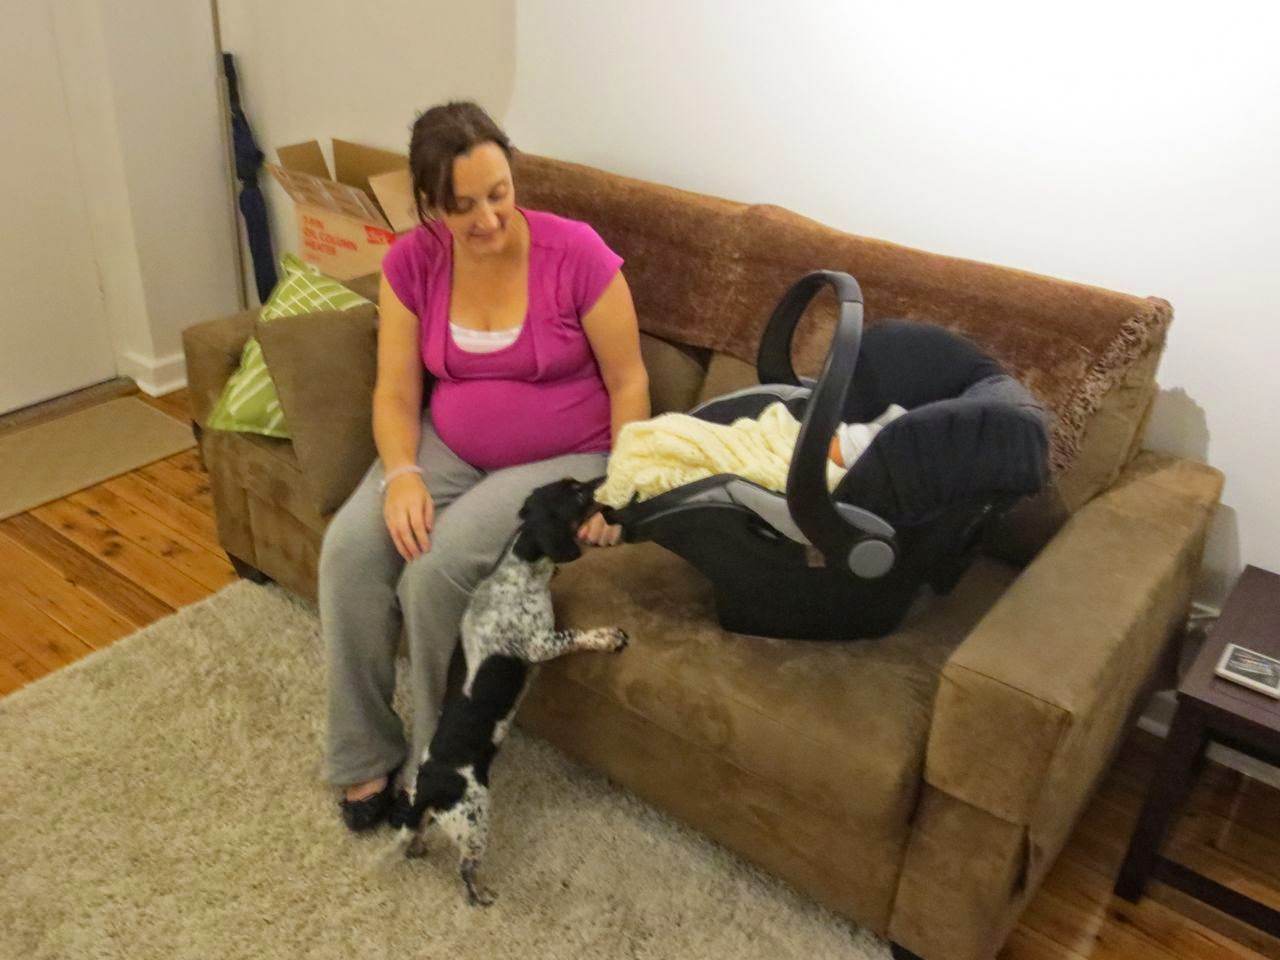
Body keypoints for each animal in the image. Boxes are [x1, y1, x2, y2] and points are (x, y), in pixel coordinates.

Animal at [387, 477, 628, 906]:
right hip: (475, 820)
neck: (517, 571)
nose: (603, 483)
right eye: (578, 494)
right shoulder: (541, 644)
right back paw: (480, 895)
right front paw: (607, 637)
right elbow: (577, 635)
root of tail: (429, 785)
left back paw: (418, 848)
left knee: (416, 831)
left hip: (438, 818)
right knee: (466, 870)